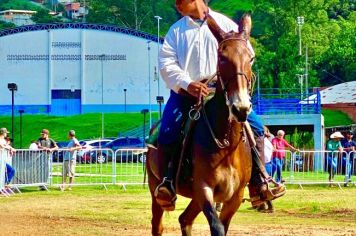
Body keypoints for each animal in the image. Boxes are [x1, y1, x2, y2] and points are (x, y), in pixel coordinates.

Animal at [146, 13, 254, 235]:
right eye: (222, 58)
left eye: (251, 58)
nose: (240, 108)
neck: (225, 141)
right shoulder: (204, 189)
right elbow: (217, 227)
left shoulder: (235, 197)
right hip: (155, 189)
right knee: (158, 225)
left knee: (185, 219)